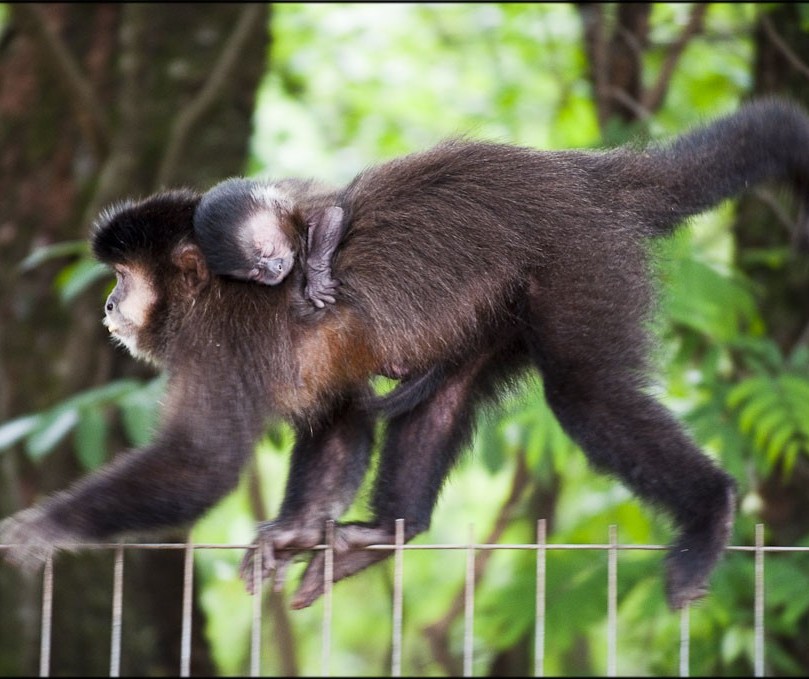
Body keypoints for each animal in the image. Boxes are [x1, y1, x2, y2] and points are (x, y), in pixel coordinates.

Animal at [196, 179, 348, 310]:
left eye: (269, 251)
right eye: (257, 273)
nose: (275, 270)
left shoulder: (299, 208)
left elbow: (332, 213)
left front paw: (317, 281)